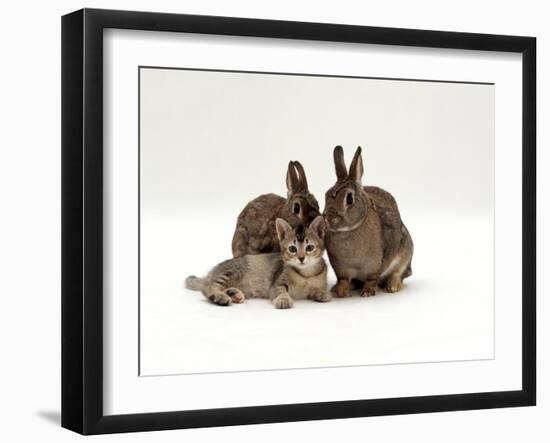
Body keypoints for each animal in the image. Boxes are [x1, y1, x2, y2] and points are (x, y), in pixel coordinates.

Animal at [185, 217, 332, 310]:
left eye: (309, 248)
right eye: (292, 249)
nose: (301, 258)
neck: (306, 274)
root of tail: (211, 272)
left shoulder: (315, 285)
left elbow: (315, 289)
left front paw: (322, 294)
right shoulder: (277, 284)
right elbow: (280, 292)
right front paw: (283, 300)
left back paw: (233, 294)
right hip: (233, 271)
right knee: (208, 287)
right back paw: (221, 298)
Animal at [324, 147, 414, 298]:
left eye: (349, 199)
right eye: (326, 195)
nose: (329, 218)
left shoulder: (375, 265)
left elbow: (372, 279)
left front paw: (367, 292)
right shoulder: (341, 268)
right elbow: (343, 279)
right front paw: (341, 292)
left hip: (406, 250)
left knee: (399, 273)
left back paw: (393, 286)